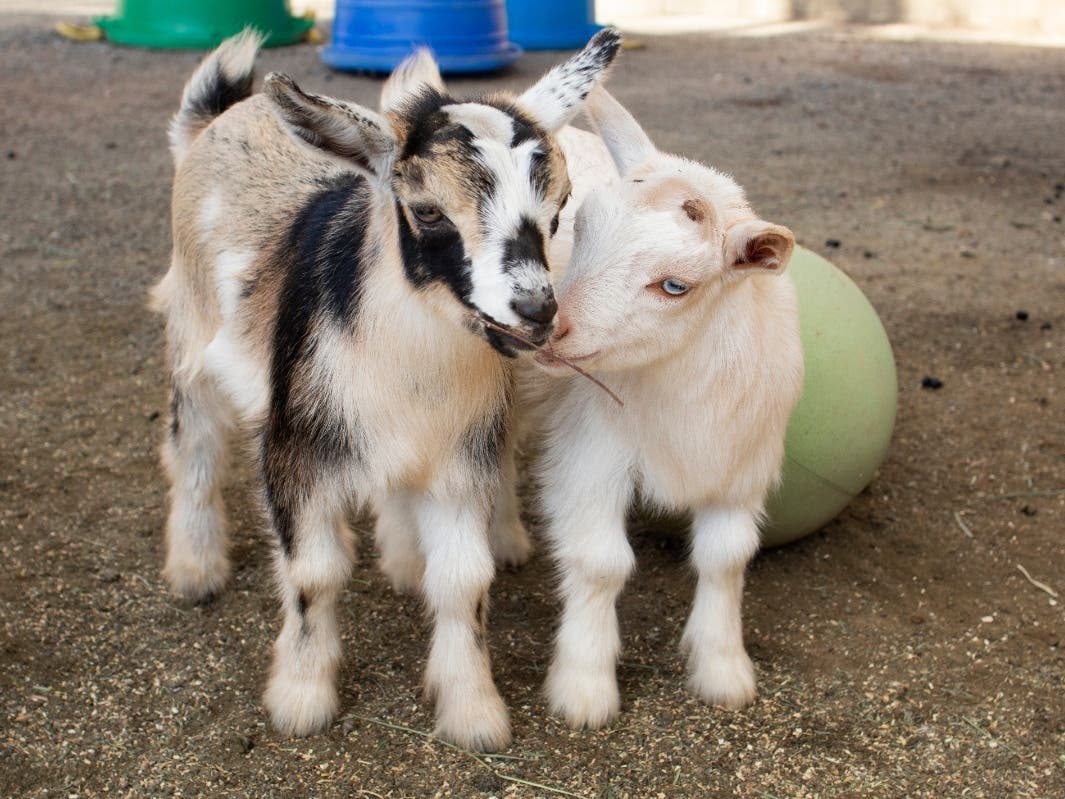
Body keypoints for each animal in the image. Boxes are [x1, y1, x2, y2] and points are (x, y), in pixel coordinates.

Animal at [152, 29, 620, 751]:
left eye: (559, 207)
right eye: (427, 210)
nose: (535, 311)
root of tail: (221, 116)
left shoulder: (458, 458)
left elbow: (463, 579)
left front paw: (473, 711)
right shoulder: (296, 447)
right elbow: (312, 572)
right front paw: (302, 697)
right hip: (191, 329)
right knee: (193, 447)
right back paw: (196, 571)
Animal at [524, 88, 804, 729]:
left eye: (675, 286)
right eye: (579, 225)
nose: (549, 330)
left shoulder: (740, 467)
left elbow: (727, 558)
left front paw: (723, 672)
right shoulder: (590, 455)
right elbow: (601, 562)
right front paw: (584, 688)